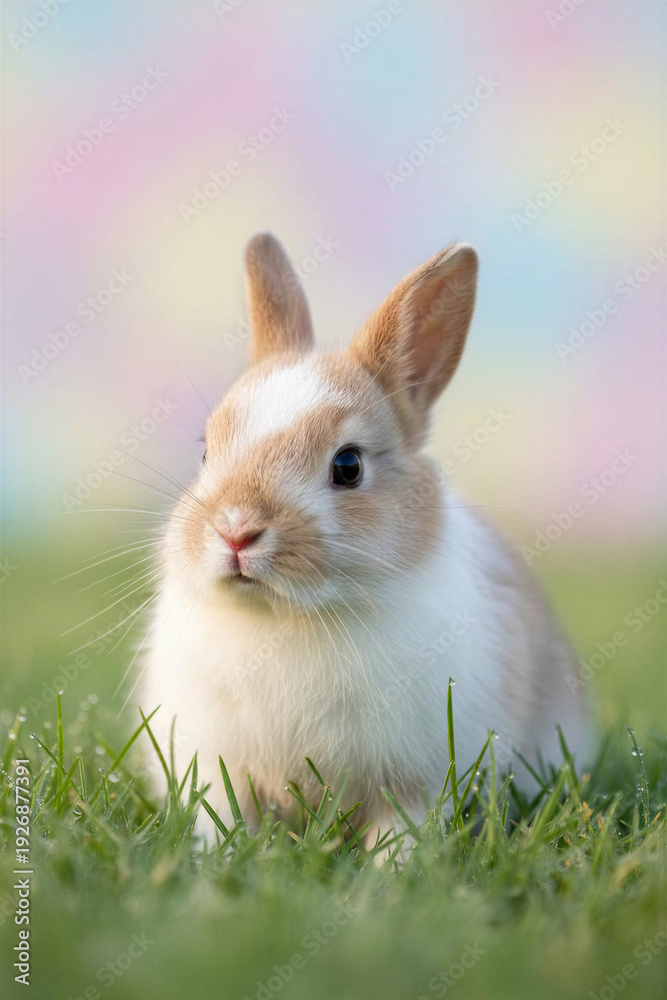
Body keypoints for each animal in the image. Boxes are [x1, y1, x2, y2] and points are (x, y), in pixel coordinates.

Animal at [141, 232, 588, 843]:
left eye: (348, 466)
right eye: (206, 451)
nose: (235, 531)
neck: (288, 617)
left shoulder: (414, 785)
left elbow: (397, 834)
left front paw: (389, 867)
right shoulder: (213, 765)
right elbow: (224, 819)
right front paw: (216, 856)